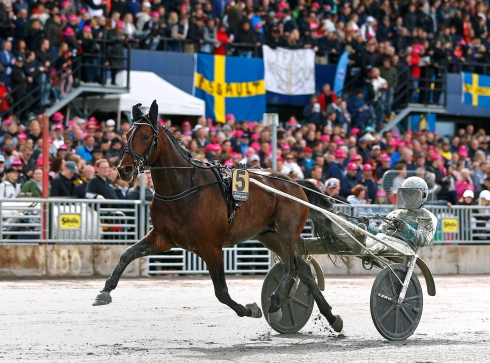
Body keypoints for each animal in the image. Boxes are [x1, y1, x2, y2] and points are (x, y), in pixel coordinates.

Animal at [94, 101, 342, 334]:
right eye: (127, 134)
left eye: (145, 135)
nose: (124, 169)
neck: (184, 188)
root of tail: (294, 182)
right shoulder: (162, 238)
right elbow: (127, 254)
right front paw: (104, 291)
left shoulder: (211, 246)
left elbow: (221, 292)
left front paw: (251, 309)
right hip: (269, 235)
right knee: (304, 270)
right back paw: (332, 318)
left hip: (286, 232)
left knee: (292, 268)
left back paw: (276, 302)